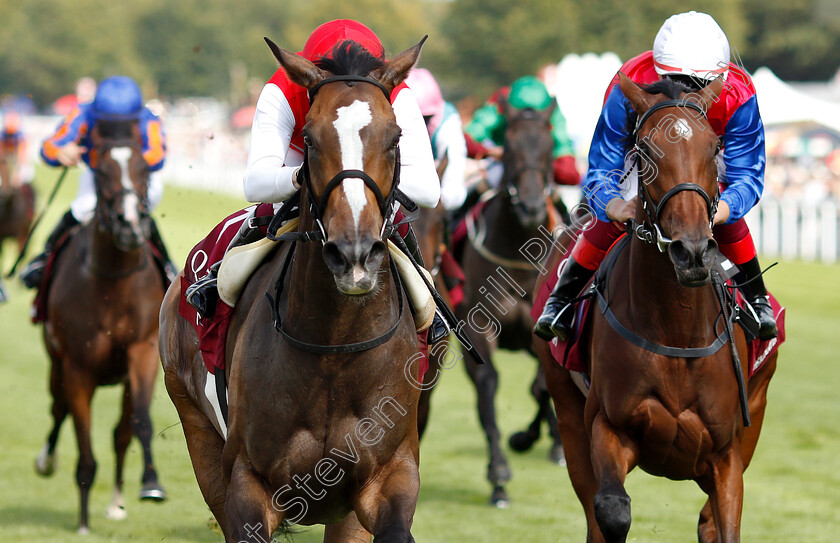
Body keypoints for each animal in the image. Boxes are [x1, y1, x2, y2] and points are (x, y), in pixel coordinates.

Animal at [34, 120, 167, 536]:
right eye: (102, 172)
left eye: (143, 170)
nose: (130, 225)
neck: (113, 282)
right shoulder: (78, 367)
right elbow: (84, 447)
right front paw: (81, 521)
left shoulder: (142, 353)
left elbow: (140, 422)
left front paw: (151, 483)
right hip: (55, 362)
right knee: (57, 408)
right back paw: (46, 460)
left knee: (121, 434)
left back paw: (117, 502)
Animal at [162, 38, 430, 543]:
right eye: (309, 138)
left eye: (396, 138)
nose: (353, 253)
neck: (334, 348)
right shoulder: (247, 484)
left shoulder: (389, 476)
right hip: (196, 427)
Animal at [452, 101, 564, 506]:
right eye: (510, 148)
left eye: (549, 146)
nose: (532, 208)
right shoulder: (477, 328)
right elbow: (488, 384)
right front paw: (498, 474)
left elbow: (541, 387)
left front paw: (527, 438)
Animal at [536, 74, 776, 540]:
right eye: (645, 151)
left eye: (714, 148)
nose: (693, 252)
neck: (677, 329)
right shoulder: (607, 427)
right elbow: (611, 510)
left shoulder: (727, 454)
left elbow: (724, 524)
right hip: (567, 411)